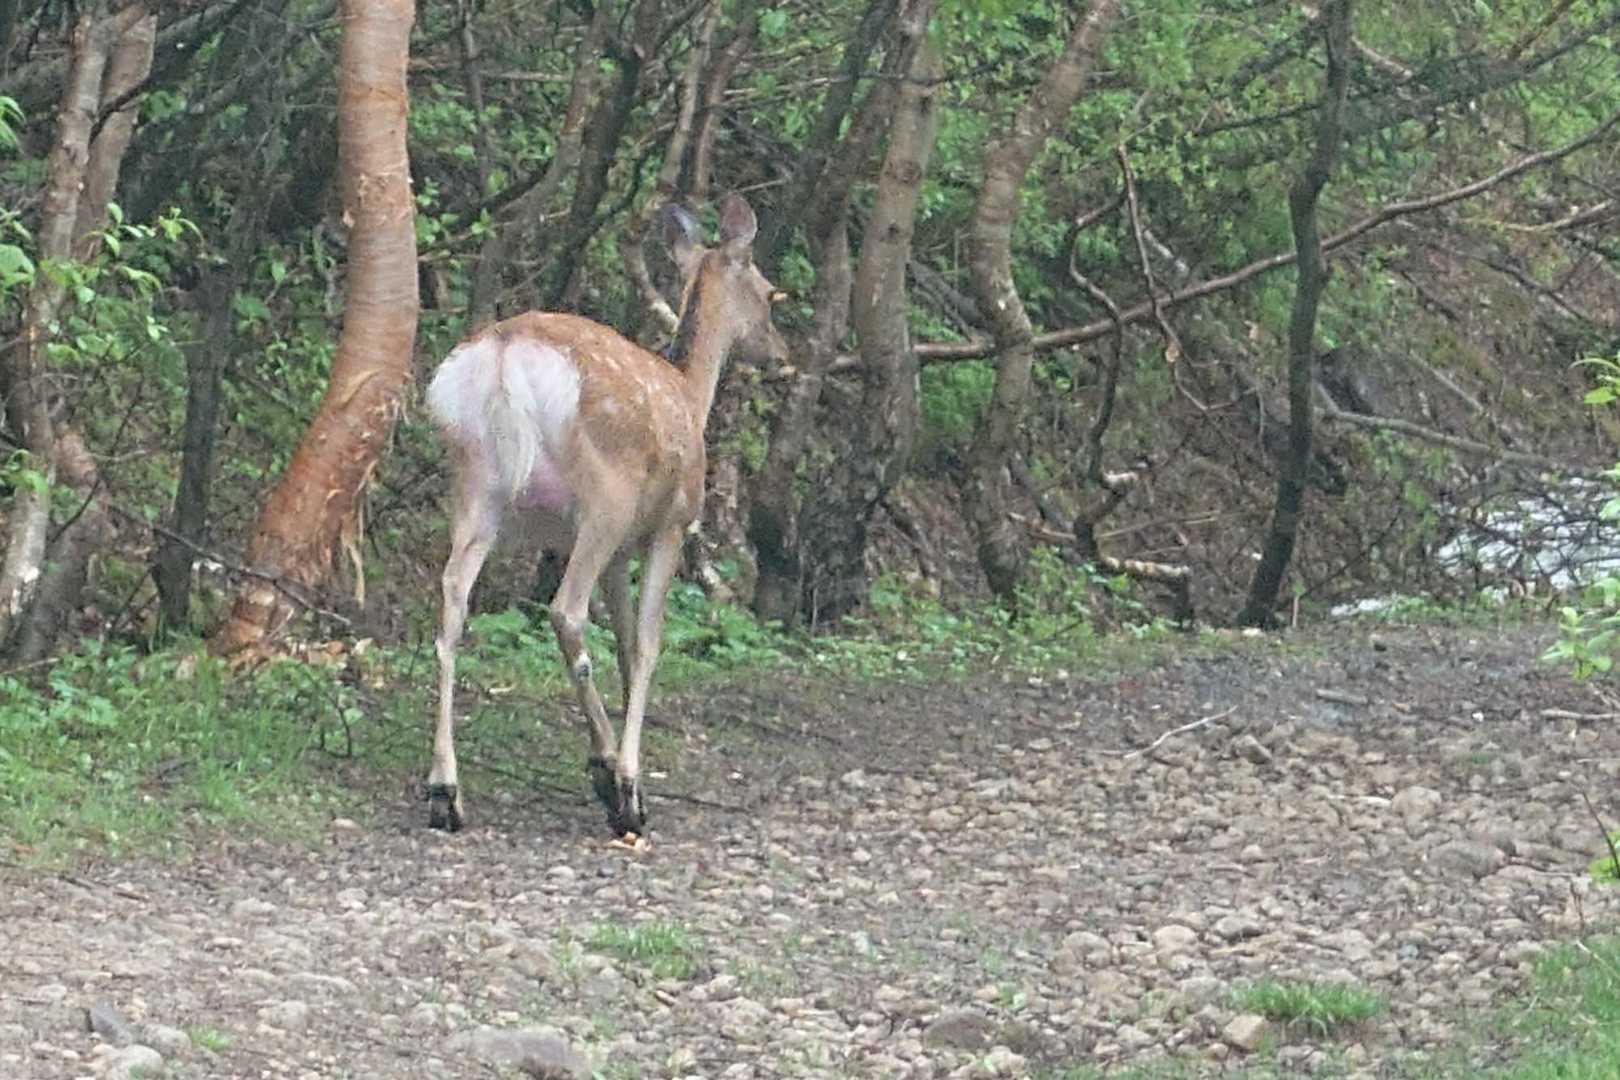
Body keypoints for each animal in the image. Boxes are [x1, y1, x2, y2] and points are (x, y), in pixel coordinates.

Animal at [422, 193, 788, 841]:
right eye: (771, 294)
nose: (782, 355)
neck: (692, 393)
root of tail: (504, 354)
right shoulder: (668, 524)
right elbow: (645, 642)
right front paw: (626, 779)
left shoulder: (622, 550)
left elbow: (622, 640)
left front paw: (609, 761)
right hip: (604, 497)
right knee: (565, 611)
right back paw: (616, 791)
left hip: (474, 485)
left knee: (451, 609)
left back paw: (446, 792)